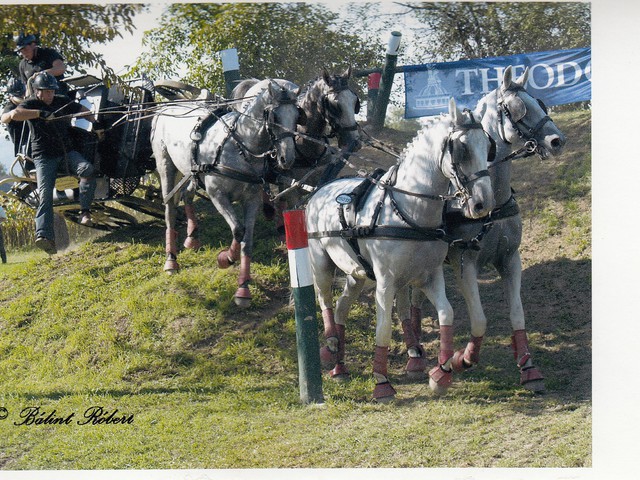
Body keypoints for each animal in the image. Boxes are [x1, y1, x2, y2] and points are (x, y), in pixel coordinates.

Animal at [151, 77, 302, 306]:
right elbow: (238, 230)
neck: (239, 147)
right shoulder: (217, 195)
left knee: (187, 196)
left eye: (297, 115)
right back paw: (171, 260)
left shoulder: (252, 199)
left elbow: (247, 239)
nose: (288, 158)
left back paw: (192, 238)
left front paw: (243, 288)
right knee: (169, 209)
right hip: (166, 166)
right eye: (274, 116)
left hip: (192, 174)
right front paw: (226, 259)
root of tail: (165, 108)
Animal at [304, 98, 496, 402]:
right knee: (325, 301)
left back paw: (340, 367)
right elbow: (382, 329)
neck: (409, 210)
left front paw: (442, 373)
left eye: (488, 145)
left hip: (356, 274)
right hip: (320, 262)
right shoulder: (386, 281)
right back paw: (332, 344)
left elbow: (446, 313)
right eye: (462, 149)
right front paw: (381, 382)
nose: (483, 203)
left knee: (342, 308)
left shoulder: (429, 276)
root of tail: (322, 189)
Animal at [404, 65, 564, 392]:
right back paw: (414, 354)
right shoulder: (464, 263)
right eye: (516, 108)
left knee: (415, 296)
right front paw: (455, 363)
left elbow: (517, 314)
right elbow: (479, 320)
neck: (495, 205)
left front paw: (528, 366)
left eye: (539, 103)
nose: (557, 141)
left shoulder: (511, 259)